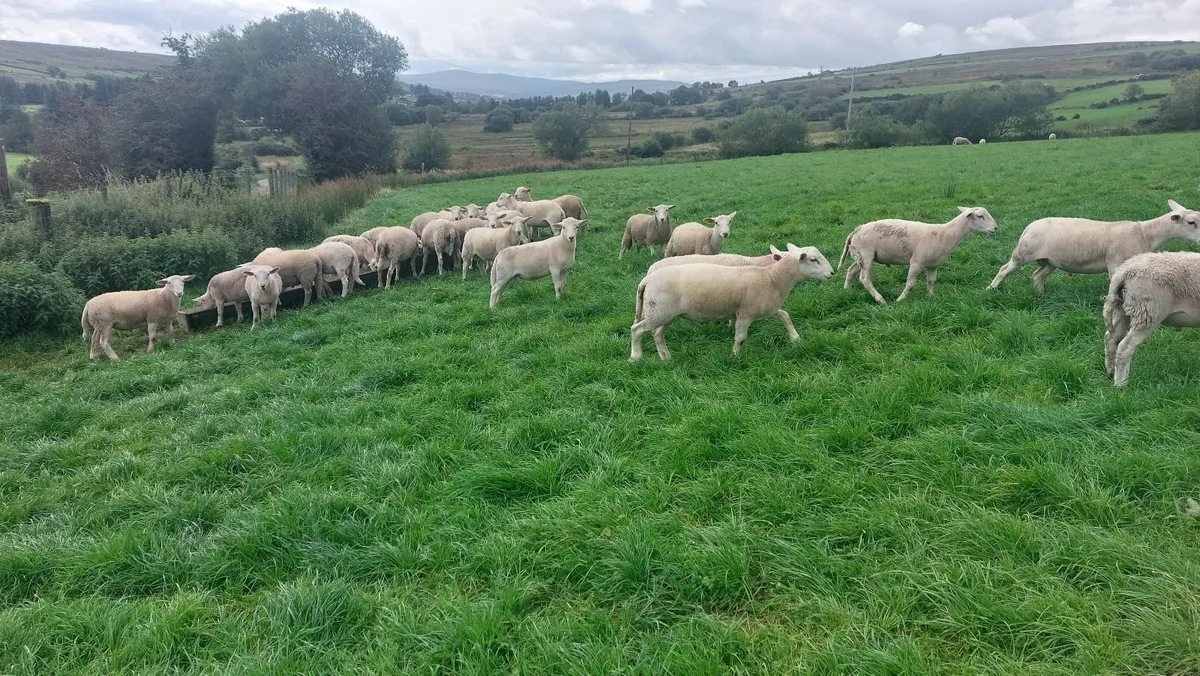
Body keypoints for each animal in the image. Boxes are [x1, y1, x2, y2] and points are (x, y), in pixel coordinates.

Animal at [630, 244, 832, 361]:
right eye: (813, 259)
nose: (831, 273)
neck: (771, 277)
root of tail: (646, 279)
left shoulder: (769, 308)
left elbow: (786, 316)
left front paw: (795, 339)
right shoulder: (745, 313)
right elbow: (740, 338)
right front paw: (734, 356)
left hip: (665, 314)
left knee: (657, 334)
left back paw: (666, 358)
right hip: (659, 313)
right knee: (637, 330)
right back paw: (636, 357)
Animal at [839, 207, 998, 305]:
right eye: (980, 216)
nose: (995, 228)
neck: (944, 234)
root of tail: (856, 230)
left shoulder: (933, 265)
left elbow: (931, 281)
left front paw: (931, 297)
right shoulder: (916, 262)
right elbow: (910, 284)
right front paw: (900, 300)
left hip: (860, 255)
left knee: (851, 271)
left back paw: (847, 291)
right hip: (866, 253)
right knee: (865, 278)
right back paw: (880, 300)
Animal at [988, 200, 1200, 294]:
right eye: (1191, 222)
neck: (1145, 234)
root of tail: (1030, 226)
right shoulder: (1115, 264)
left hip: (1049, 261)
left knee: (1037, 276)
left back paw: (1041, 295)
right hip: (1023, 254)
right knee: (1004, 269)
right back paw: (991, 289)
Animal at [1103, 252, 1200, 387]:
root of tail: (1124, 271)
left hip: (1122, 309)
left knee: (1111, 339)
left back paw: (1111, 372)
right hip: (1148, 312)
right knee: (1125, 347)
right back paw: (1121, 384)